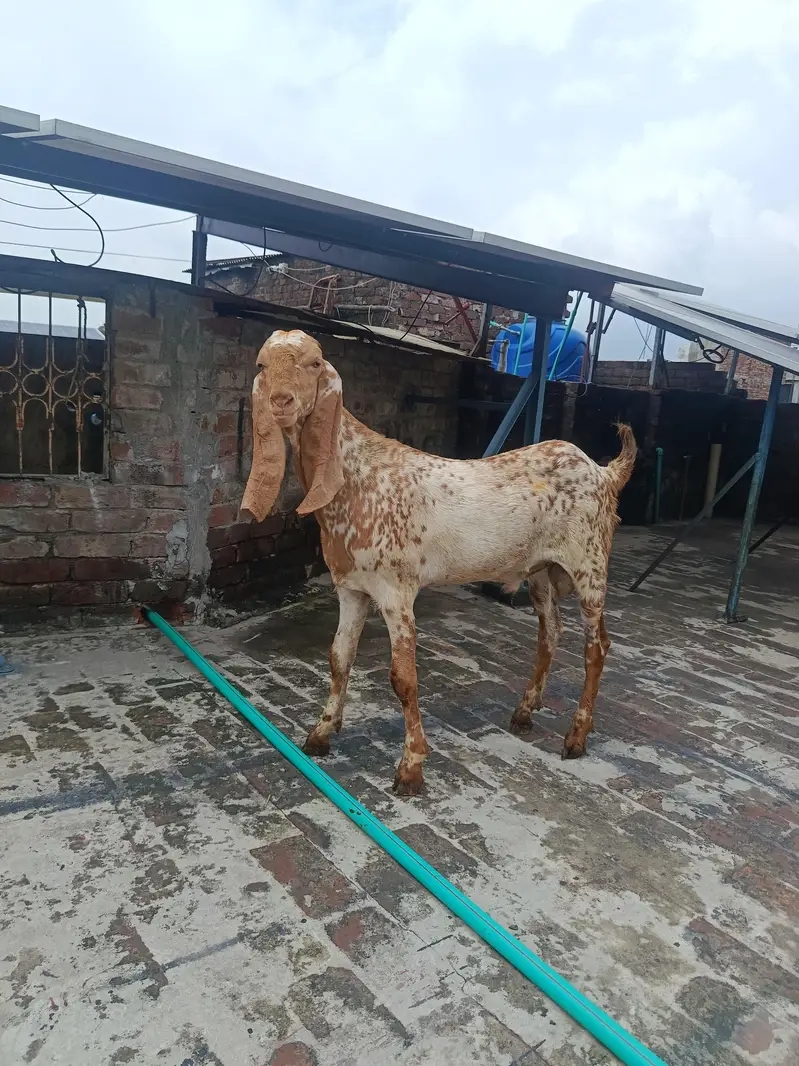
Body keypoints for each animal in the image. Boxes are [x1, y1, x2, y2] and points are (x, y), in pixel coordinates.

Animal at [240, 329, 637, 796]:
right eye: (262, 366)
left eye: (314, 364)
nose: (281, 401)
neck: (358, 476)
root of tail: (604, 472)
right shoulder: (351, 587)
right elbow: (339, 657)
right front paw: (320, 733)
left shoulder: (396, 591)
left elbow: (403, 678)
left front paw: (411, 766)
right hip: (540, 570)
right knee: (551, 632)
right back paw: (524, 711)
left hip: (589, 563)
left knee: (597, 647)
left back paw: (576, 736)